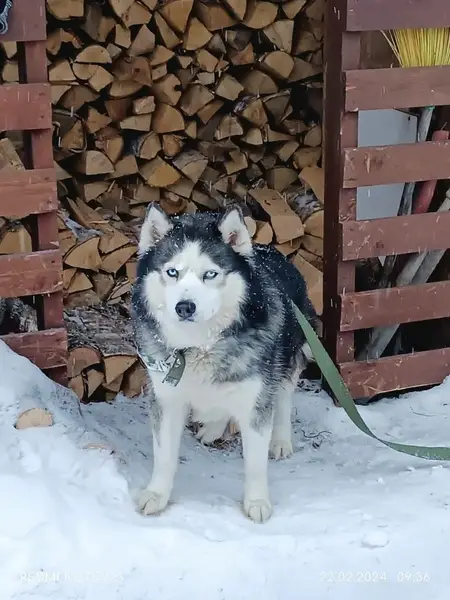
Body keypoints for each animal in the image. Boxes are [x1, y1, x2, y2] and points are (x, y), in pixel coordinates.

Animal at [131, 203, 317, 522]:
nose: (185, 307)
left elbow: (255, 463)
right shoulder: (167, 398)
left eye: (210, 274)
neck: (199, 345)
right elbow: (164, 456)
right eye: (172, 272)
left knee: (283, 396)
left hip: (290, 354)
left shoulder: (256, 399)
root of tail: (274, 253)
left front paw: (257, 502)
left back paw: (281, 440)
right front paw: (157, 495)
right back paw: (214, 427)